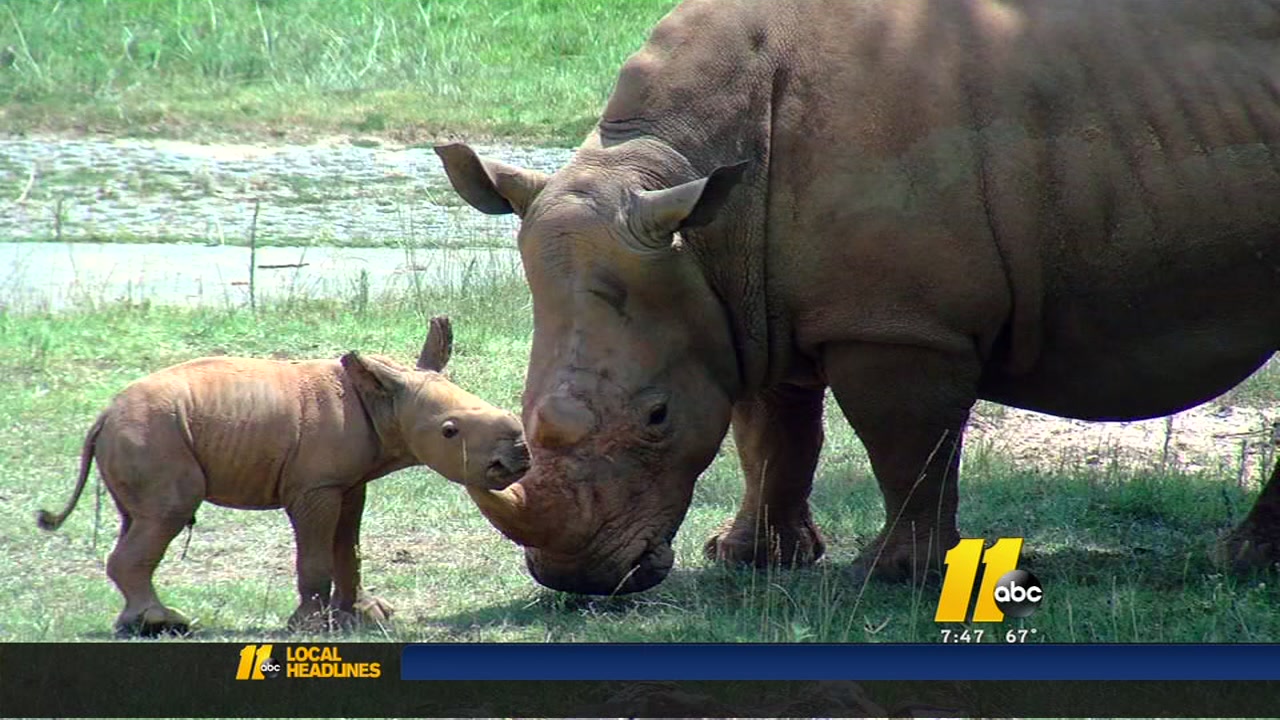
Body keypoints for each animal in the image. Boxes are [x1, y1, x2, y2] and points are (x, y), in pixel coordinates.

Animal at [36, 316, 529, 635]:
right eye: (449, 431)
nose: (518, 458)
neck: (385, 402)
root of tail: (102, 415)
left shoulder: (347, 483)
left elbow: (348, 549)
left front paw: (366, 616)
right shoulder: (314, 487)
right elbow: (315, 556)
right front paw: (308, 627)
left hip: (138, 434)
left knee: (137, 518)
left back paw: (134, 625)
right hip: (151, 433)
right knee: (168, 511)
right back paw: (163, 624)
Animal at [437, 0, 1280, 595]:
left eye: (657, 416)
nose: (573, 578)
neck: (675, 164)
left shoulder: (900, 323)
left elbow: (902, 444)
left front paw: (891, 575)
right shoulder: (743, 296)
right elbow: (770, 432)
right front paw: (751, 559)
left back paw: (1235, 562)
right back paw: (1247, 560)